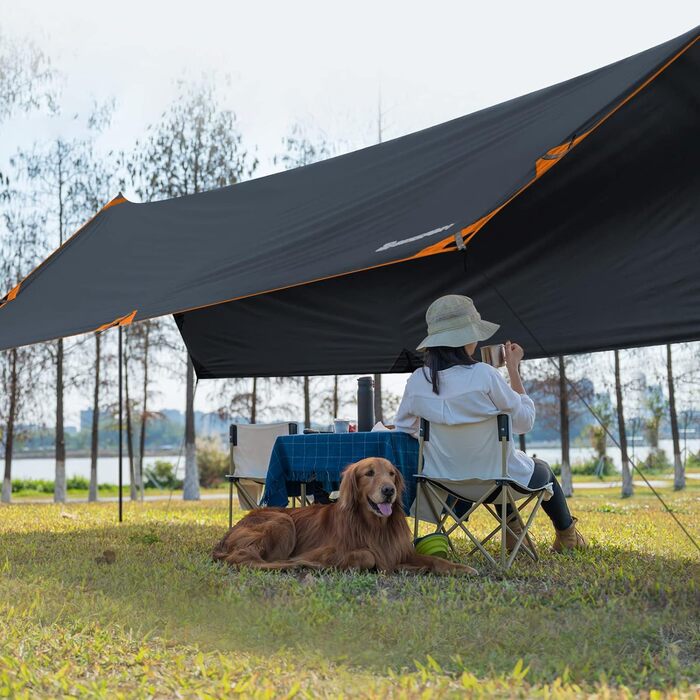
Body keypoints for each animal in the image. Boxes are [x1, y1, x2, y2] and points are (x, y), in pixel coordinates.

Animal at [212, 454, 476, 576]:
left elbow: (435, 560)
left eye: (391, 474)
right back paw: (292, 565)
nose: (389, 491)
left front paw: (461, 568)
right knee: (245, 559)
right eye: (369, 473)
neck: (374, 526)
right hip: (282, 521)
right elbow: (369, 555)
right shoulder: (324, 551)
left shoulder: (401, 550)